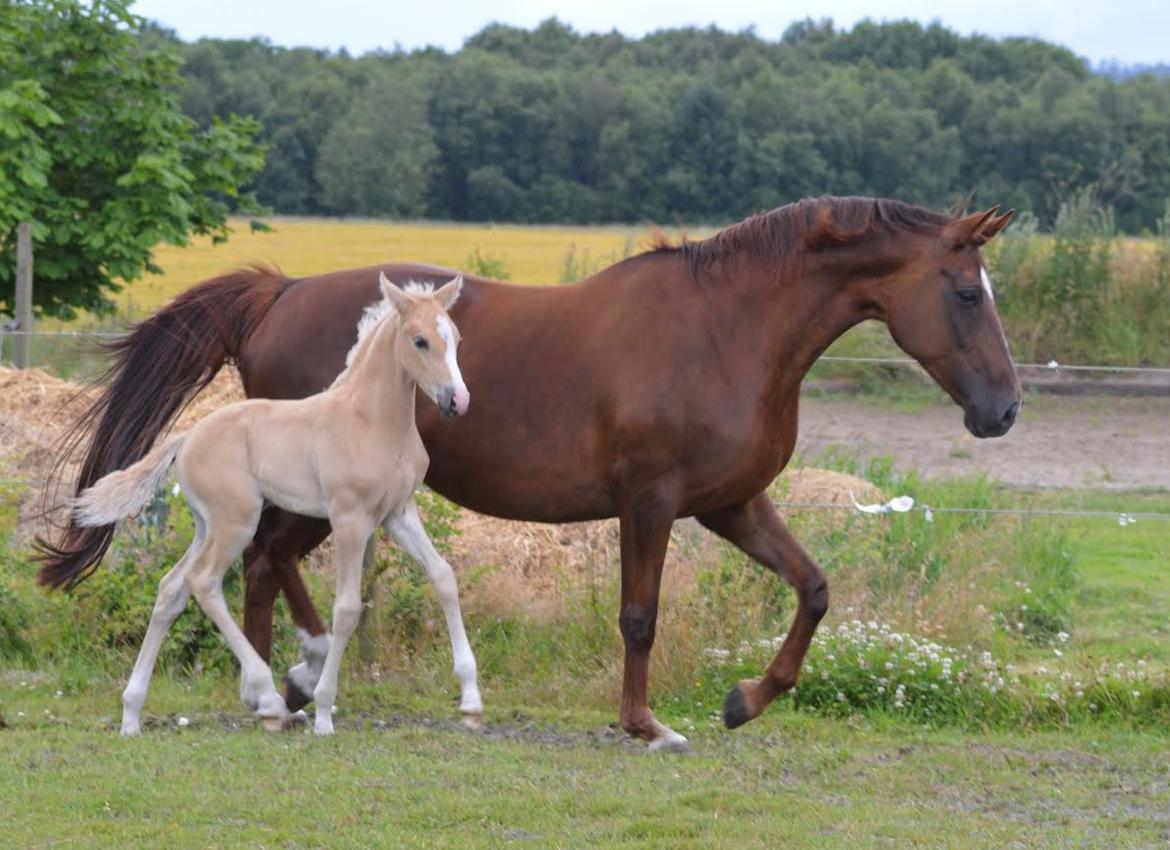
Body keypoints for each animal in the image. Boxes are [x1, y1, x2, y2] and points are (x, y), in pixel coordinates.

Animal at [71, 276, 479, 735]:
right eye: (420, 341)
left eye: (456, 338)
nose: (457, 401)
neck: (369, 421)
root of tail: (186, 437)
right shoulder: (350, 519)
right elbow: (347, 608)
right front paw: (323, 711)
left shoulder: (398, 514)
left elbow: (443, 577)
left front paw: (471, 701)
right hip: (236, 523)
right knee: (204, 583)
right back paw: (266, 697)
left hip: (208, 527)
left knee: (172, 588)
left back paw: (131, 713)